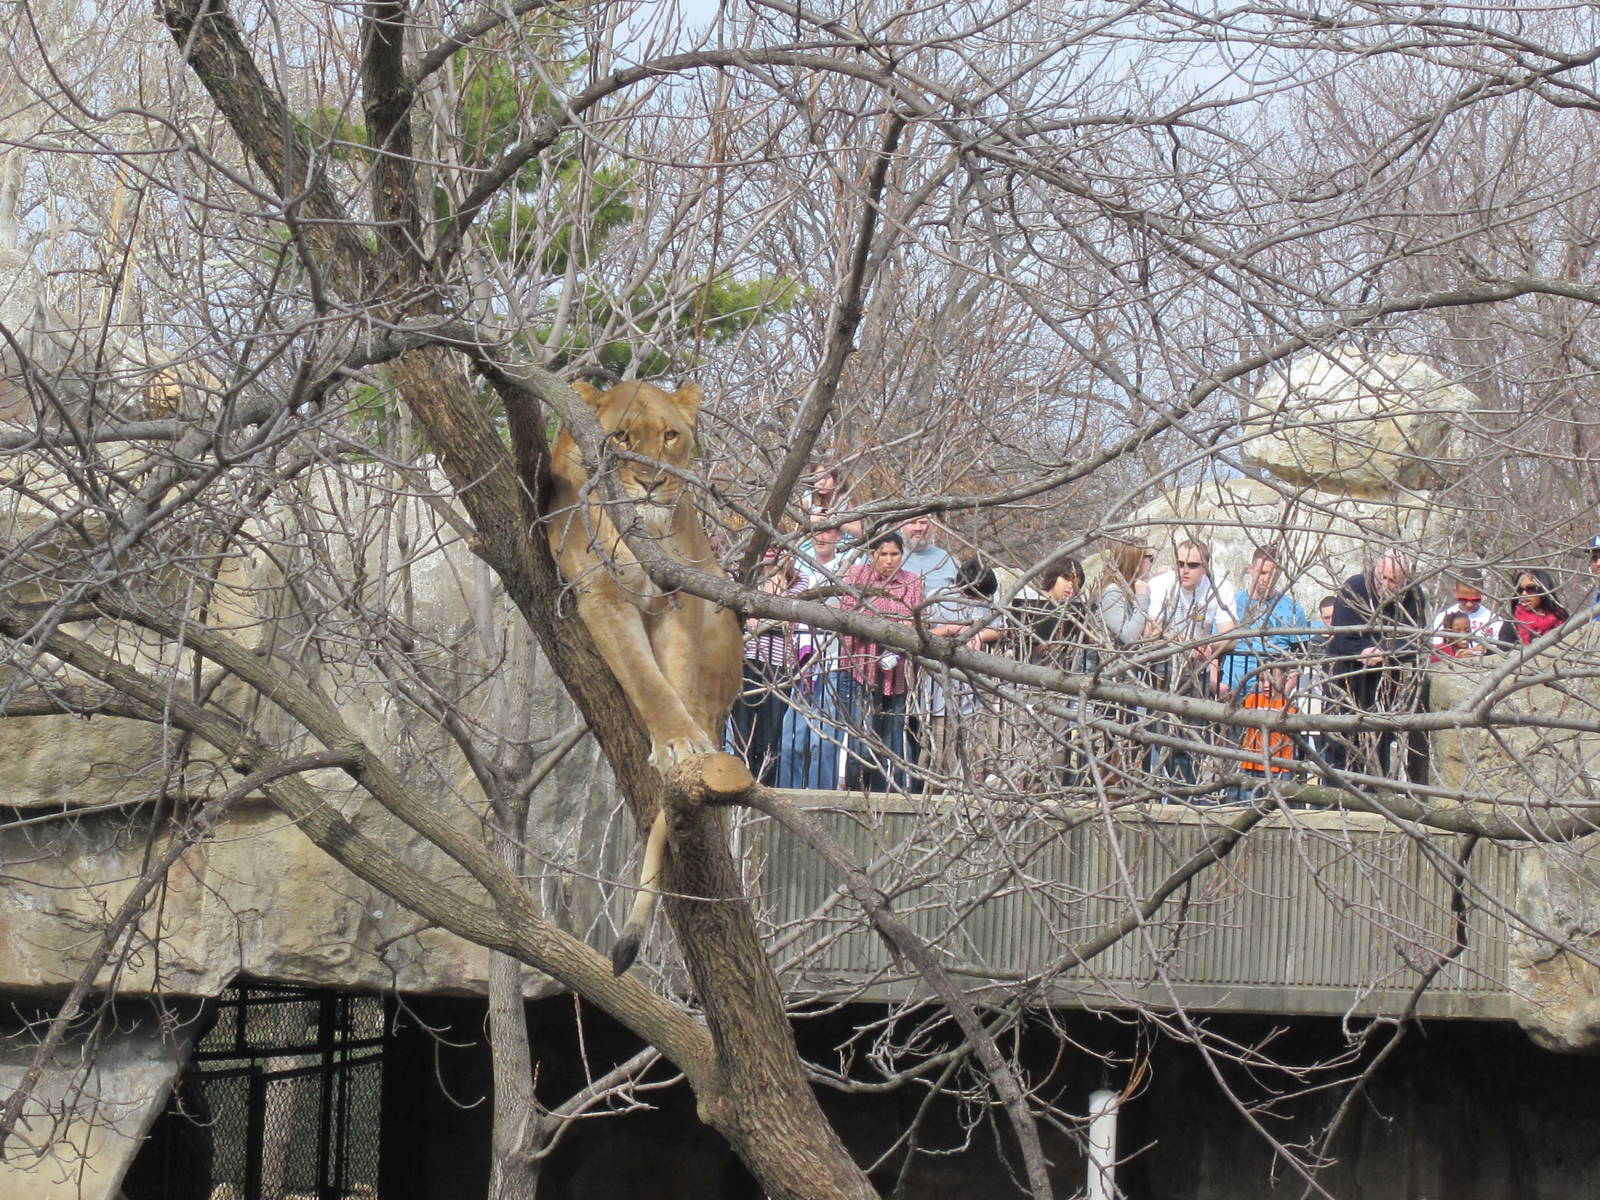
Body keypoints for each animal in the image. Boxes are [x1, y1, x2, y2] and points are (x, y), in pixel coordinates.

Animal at [546, 379, 747, 973]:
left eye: (671, 436)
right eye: (621, 438)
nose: (652, 483)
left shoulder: (679, 596)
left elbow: (672, 680)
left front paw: (685, 748)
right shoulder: (602, 597)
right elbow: (645, 679)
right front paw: (676, 743)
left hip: (718, 601)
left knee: (701, 698)